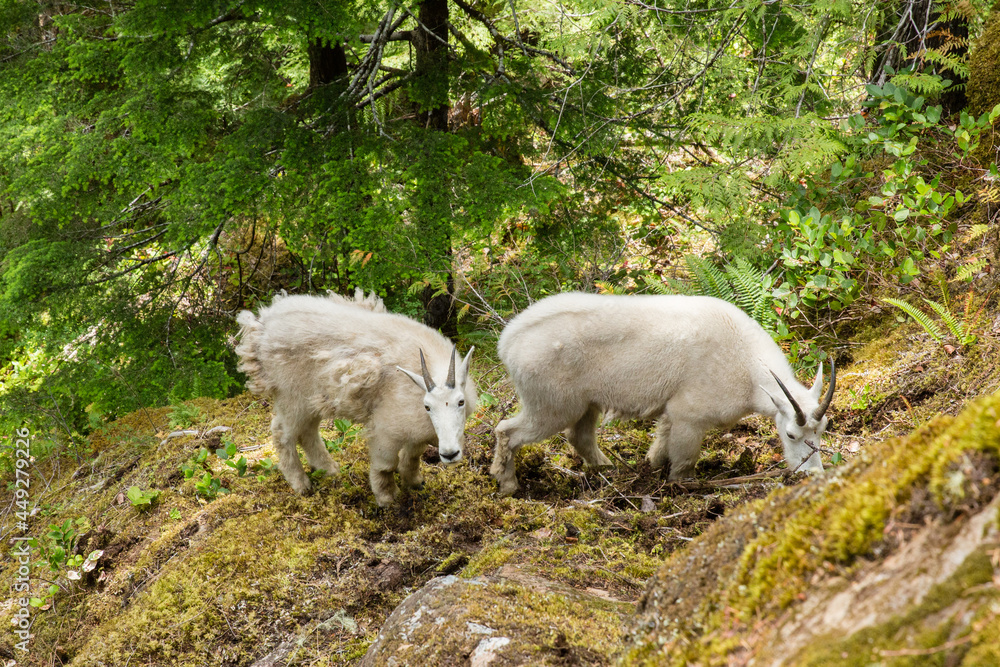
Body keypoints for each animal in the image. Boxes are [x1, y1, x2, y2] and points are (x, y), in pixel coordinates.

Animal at [236, 289, 476, 507]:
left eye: (461, 402)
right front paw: (386, 499)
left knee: (307, 432)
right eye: (427, 406)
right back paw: (301, 484)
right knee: (282, 434)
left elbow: (412, 457)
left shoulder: (415, 429)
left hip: (313, 399)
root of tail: (262, 326)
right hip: (291, 396)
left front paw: (415, 482)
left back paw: (329, 470)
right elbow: (385, 465)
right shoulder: (386, 427)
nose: (450, 454)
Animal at [490, 292, 834, 495]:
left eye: (823, 430)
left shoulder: (672, 411)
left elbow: (661, 441)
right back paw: (507, 485)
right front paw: (680, 486)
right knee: (508, 431)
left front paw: (651, 466)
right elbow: (684, 459)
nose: (812, 474)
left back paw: (608, 469)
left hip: (585, 403)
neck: (747, 366)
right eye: (790, 435)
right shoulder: (690, 416)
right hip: (550, 403)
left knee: (580, 436)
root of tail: (508, 341)